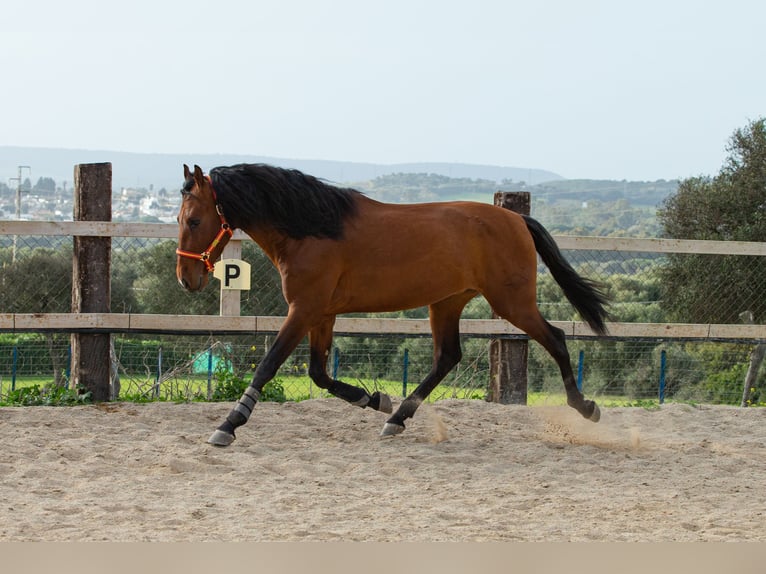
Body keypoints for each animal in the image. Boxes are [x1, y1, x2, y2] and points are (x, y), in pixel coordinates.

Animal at [176, 164, 612, 448]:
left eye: (194, 220)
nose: (186, 279)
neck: (311, 229)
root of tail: (517, 220)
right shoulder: (322, 313)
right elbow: (319, 374)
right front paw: (374, 399)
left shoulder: (303, 310)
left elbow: (269, 365)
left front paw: (228, 425)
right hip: (447, 302)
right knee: (447, 357)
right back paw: (396, 418)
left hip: (511, 303)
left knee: (555, 338)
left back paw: (585, 407)